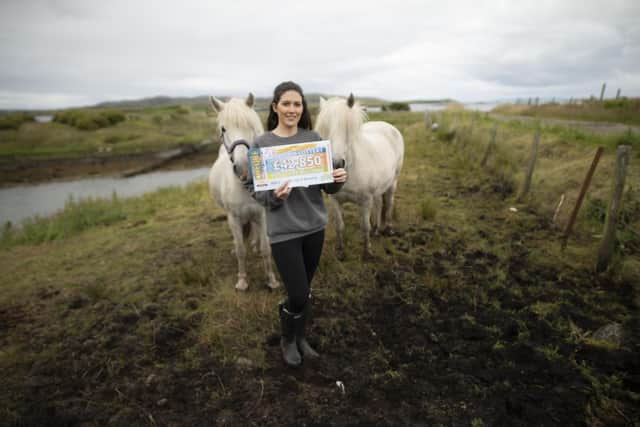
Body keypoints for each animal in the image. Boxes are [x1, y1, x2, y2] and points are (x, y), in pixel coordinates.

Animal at [208, 93, 278, 290]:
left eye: (250, 126)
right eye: (223, 129)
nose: (243, 168)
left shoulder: (262, 215)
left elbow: (266, 248)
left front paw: (271, 280)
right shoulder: (233, 218)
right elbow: (240, 250)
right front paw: (242, 281)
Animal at [316, 94, 404, 260]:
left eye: (347, 129)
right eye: (325, 129)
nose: (336, 164)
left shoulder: (365, 200)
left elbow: (365, 227)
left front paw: (367, 252)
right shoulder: (335, 200)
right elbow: (339, 226)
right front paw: (340, 251)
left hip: (393, 181)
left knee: (389, 203)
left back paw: (388, 228)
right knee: (379, 204)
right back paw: (376, 229)